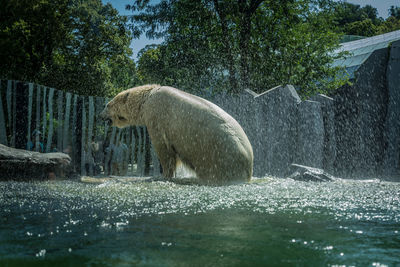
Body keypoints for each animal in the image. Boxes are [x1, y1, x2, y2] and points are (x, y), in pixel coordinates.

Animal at [100, 85, 253, 184]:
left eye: (107, 105)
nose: (101, 116)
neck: (148, 97)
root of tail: (248, 168)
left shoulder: (156, 116)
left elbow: (164, 149)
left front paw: (162, 176)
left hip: (218, 155)